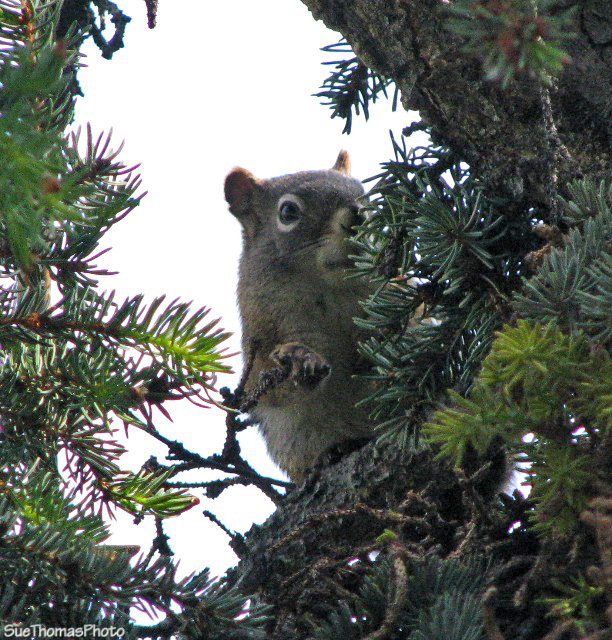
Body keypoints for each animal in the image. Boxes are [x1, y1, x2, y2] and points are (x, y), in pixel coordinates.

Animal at [224, 151, 375, 483]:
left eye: (364, 193)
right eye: (288, 211)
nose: (358, 214)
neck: (330, 288)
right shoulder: (262, 336)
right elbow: (274, 388)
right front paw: (298, 357)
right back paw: (333, 453)